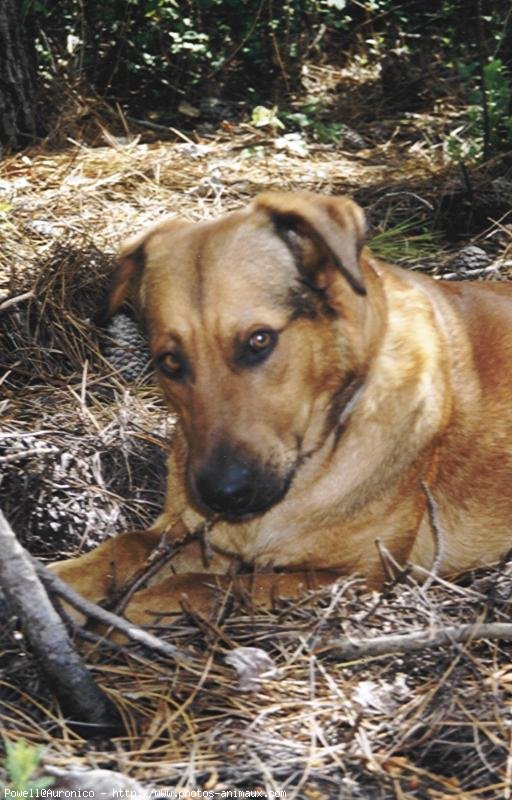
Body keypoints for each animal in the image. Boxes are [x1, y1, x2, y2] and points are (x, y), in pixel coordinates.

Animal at [52, 192, 512, 624]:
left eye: (259, 340)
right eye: (170, 362)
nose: (222, 495)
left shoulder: (359, 575)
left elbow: (212, 584)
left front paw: (134, 609)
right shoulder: (185, 531)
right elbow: (125, 544)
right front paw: (65, 584)